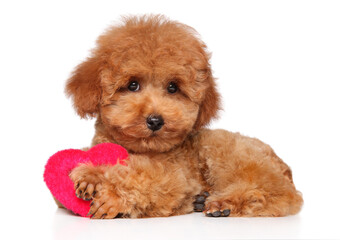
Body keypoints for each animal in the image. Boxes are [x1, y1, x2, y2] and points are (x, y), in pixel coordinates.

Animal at [63, 14, 302, 218]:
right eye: (132, 85)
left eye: (173, 87)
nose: (155, 121)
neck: (144, 150)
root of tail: (283, 166)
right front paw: (92, 176)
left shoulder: (176, 177)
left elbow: (140, 176)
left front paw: (104, 186)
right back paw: (202, 199)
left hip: (226, 150)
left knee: (281, 194)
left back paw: (223, 203)